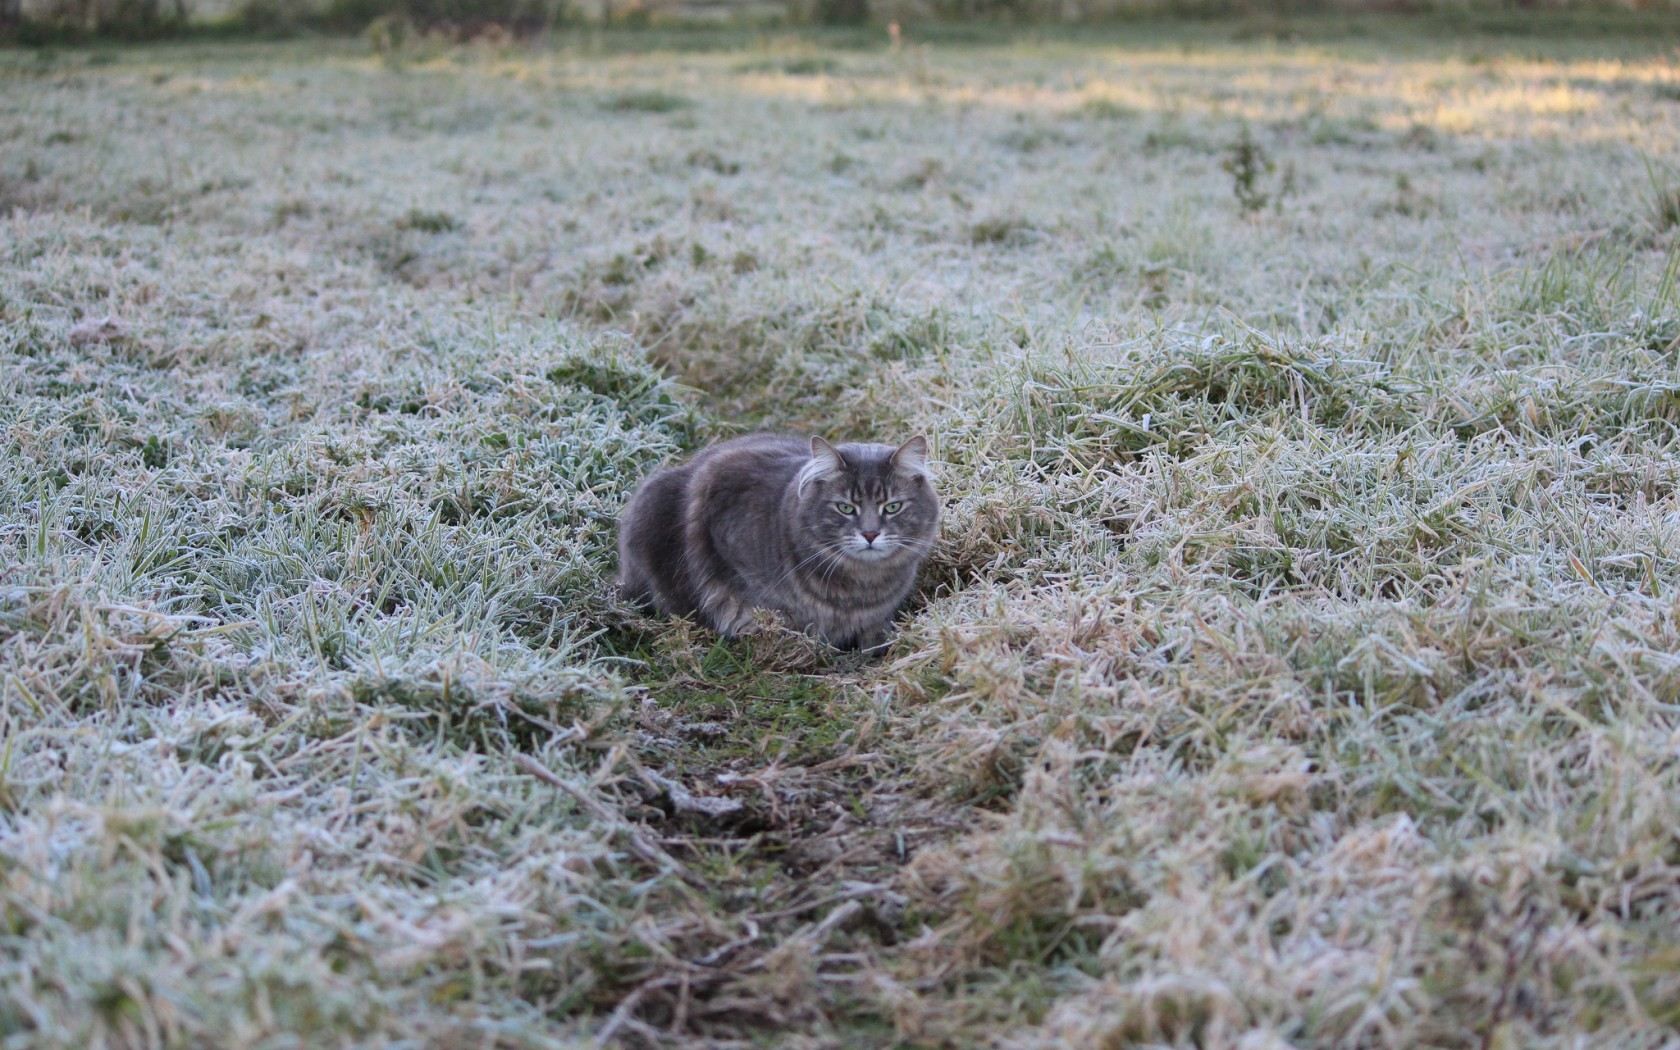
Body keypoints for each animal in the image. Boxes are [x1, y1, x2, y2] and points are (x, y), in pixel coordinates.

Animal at [618, 433, 940, 648]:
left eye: (892, 507)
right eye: (846, 508)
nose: (870, 534)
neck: (861, 586)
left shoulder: (877, 617)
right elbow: (751, 604)